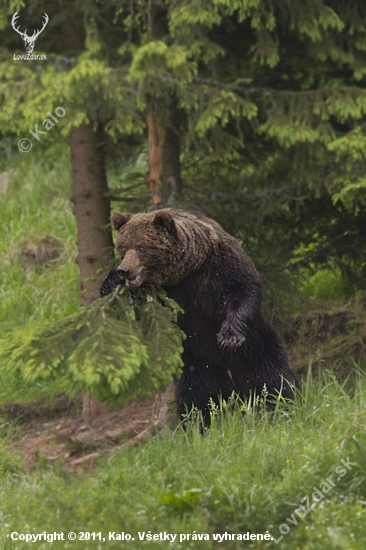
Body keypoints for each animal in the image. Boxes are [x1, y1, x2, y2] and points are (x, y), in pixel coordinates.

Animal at [101, 209, 296, 424]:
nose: (124, 270)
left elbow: (242, 290)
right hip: (195, 367)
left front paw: (229, 338)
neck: (185, 273)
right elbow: (140, 322)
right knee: (193, 399)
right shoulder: (164, 298)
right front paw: (109, 284)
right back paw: (196, 425)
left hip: (257, 350)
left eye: (142, 247)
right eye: (123, 247)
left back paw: (286, 407)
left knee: (275, 379)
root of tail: (232, 385)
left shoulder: (219, 267)